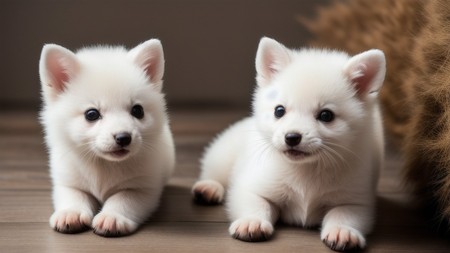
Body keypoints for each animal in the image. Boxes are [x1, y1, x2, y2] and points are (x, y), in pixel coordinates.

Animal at [38, 38, 174, 236]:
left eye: (137, 110)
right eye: (92, 114)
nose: (124, 137)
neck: (103, 164)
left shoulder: (142, 188)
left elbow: (123, 199)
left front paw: (112, 217)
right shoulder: (68, 182)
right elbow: (74, 195)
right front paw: (70, 213)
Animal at [192, 37, 384, 251]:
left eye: (326, 115)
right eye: (279, 111)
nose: (292, 137)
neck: (307, 169)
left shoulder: (355, 201)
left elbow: (343, 214)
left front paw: (343, 231)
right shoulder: (251, 187)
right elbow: (257, 203)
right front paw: (252, 221)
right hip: (223, 154)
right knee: (215, 172)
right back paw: (209, 187)